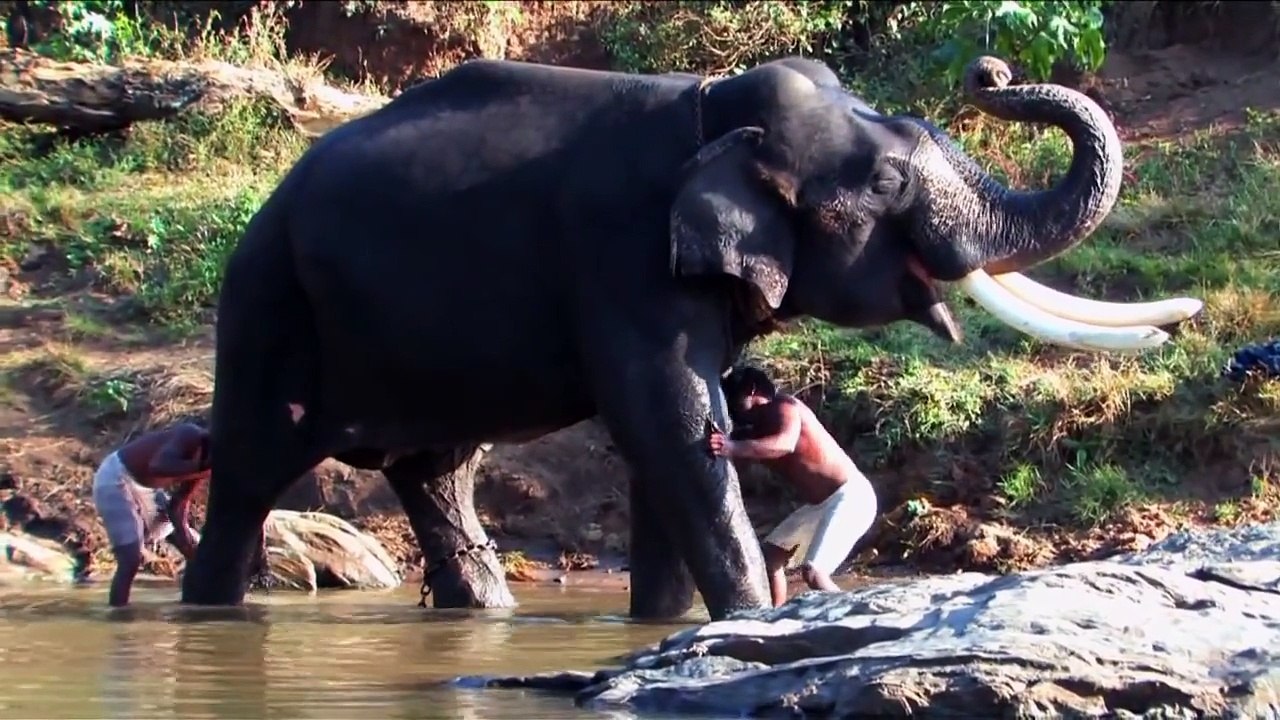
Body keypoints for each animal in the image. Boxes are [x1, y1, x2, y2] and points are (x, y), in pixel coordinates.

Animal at [181, 53, 1202, 621]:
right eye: (883, 183)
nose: (988, 73)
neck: (715, 111)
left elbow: (666, 439)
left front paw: (671, 630)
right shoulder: (621, 255)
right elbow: (670, 422)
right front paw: (740, 619)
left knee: (438, 478)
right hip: (268, 300)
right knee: (249, 475)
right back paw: (212, 619)